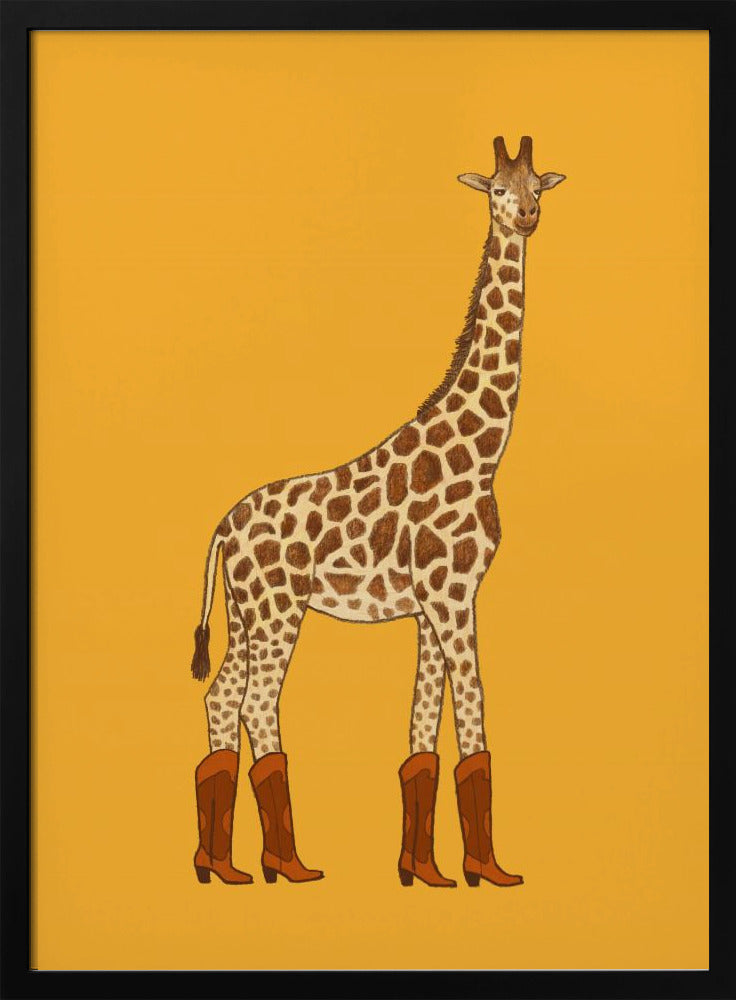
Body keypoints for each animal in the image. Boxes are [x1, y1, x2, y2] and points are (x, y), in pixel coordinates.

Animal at [190, 135, 565, 887]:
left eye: (538, 186)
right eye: (497, 191)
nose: (528, 218)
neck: (483, 450)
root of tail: (222, 529)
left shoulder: (430, 604)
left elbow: (423, 731)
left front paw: (425, 871)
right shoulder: (453, 593)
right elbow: (474, 713)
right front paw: (489, 870)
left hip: (245, 612)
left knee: (221, 697)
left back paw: (223, 866)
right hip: (279, 609)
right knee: (255, 701)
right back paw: (288, 865)